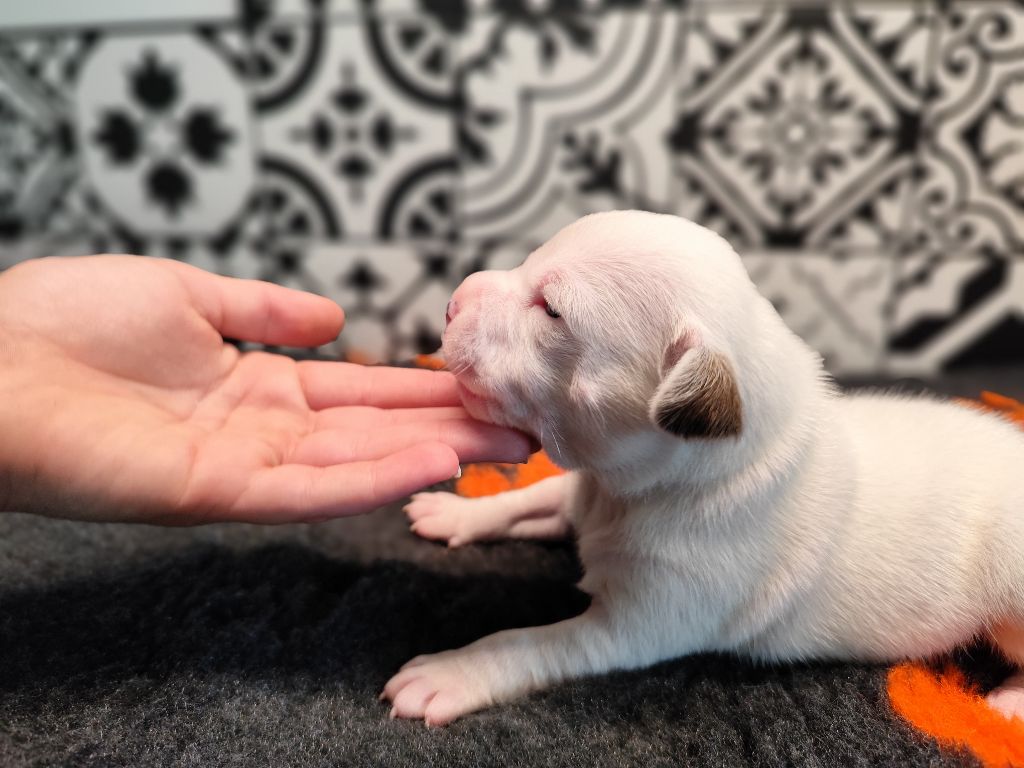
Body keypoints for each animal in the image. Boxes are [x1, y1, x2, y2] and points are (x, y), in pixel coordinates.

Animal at [380, 210, 1024, 729]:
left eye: (553, 310)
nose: (451, 303)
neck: (628, 492)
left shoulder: (641, 623)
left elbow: (530, 644)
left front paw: (450, 673)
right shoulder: (587, 494)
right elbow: (529, 500)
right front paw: (456, 510)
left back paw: (1008, 702)